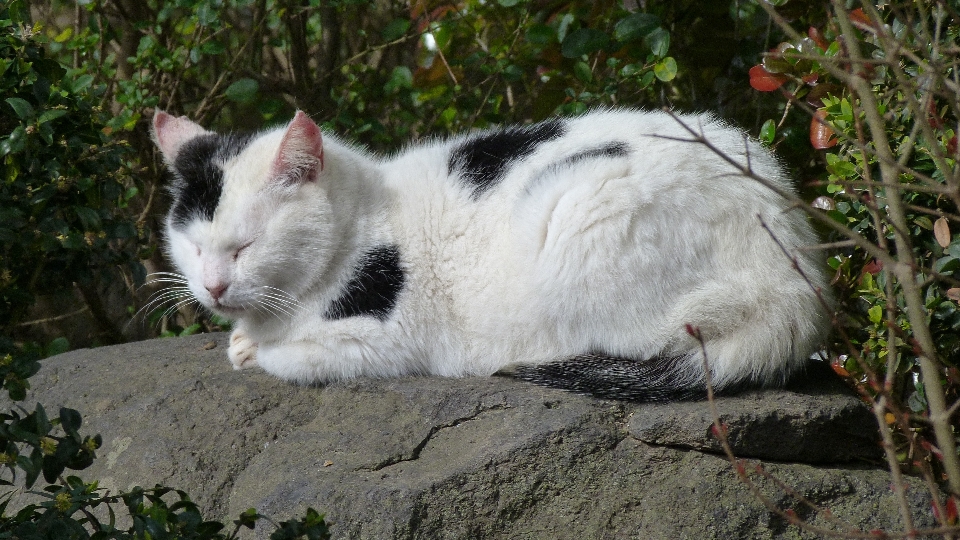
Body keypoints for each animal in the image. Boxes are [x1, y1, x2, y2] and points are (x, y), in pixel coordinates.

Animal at [152, 108, 832, 400]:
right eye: (193, 246)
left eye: (245, 247)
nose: (213, 287)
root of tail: (799, 286)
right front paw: (241, 338)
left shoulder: (379, 341)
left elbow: (285, 358)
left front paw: (251, 350)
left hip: (583, 221)